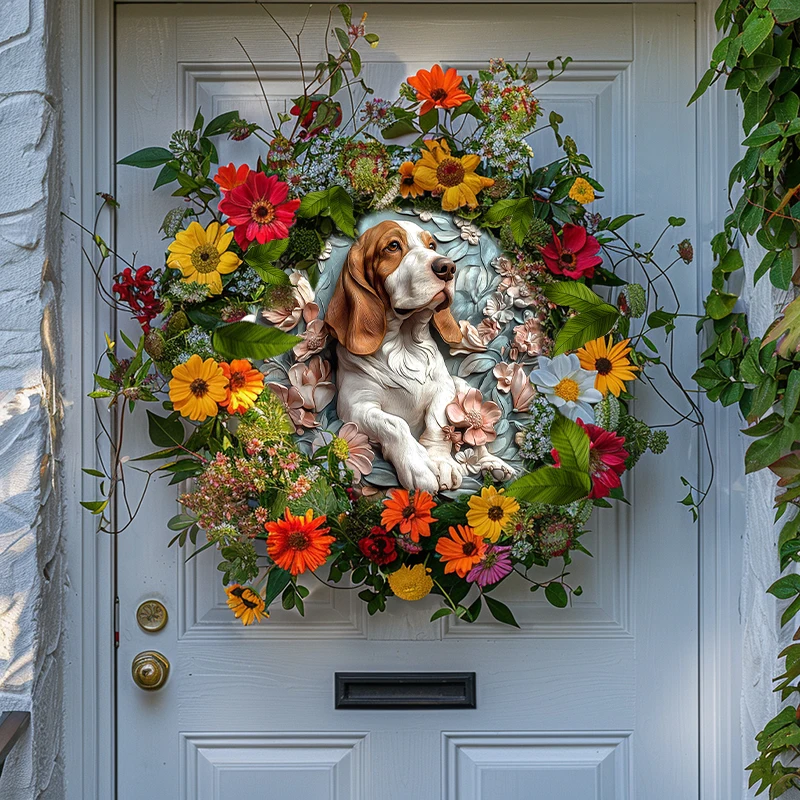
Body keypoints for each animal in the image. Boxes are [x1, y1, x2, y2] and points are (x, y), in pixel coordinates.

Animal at [328, 220, 516, 494]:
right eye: (393, 246)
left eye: (432, 245)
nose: (447, 267)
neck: (404, 345)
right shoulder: (355, 406)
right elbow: (394, 424)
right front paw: (418, 465)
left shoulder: (445, 389)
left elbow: (438, 423)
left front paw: (440, 462)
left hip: (463, 389)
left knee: (478, 437)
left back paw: (493, 464)